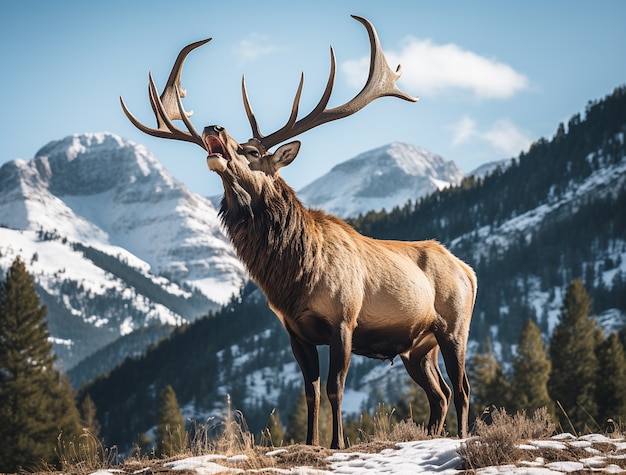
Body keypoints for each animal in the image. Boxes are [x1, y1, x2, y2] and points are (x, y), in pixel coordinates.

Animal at [120, 13, 472, 448]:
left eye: (253, 151)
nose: (213, 127)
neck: (295, 277)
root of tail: (469, 270)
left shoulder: (344, 320)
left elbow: (336, 388)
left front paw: (338, 444)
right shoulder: (295, 331)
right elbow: (311, 392)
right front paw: (310, 442)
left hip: (454, 326)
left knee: (461, 388)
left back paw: (462, 437)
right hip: (417, 347)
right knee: (439, 394)